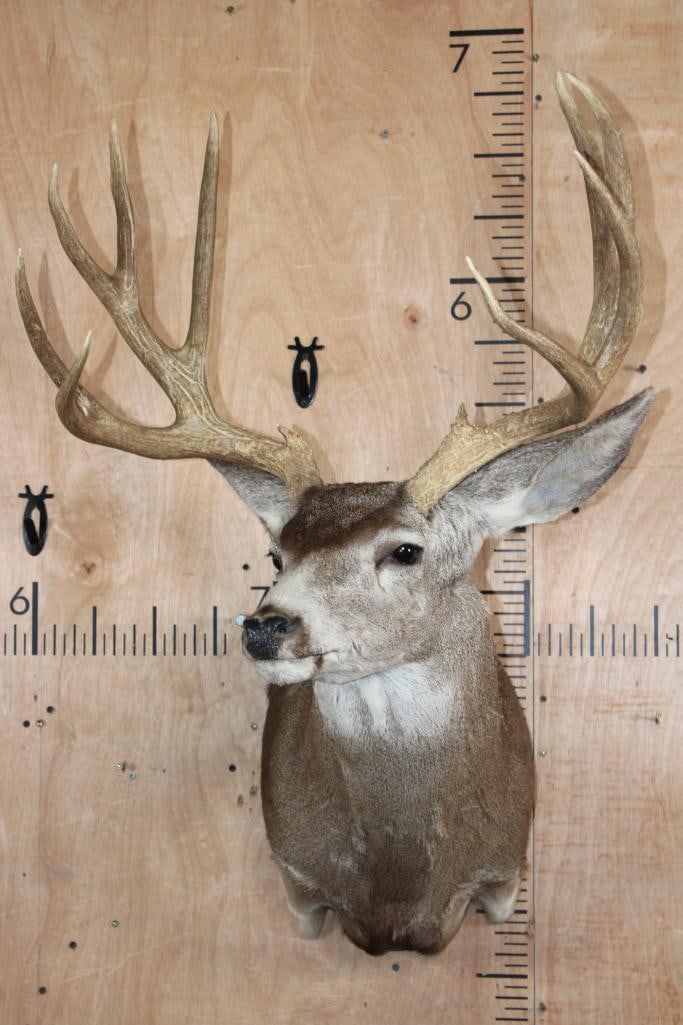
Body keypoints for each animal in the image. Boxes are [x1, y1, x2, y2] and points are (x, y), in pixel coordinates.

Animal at [16, 73, 652, 956]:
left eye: (405, 551)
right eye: (276, 554)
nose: (265, 625)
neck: (397, 884)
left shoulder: (503, 872)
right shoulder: (297, 880)